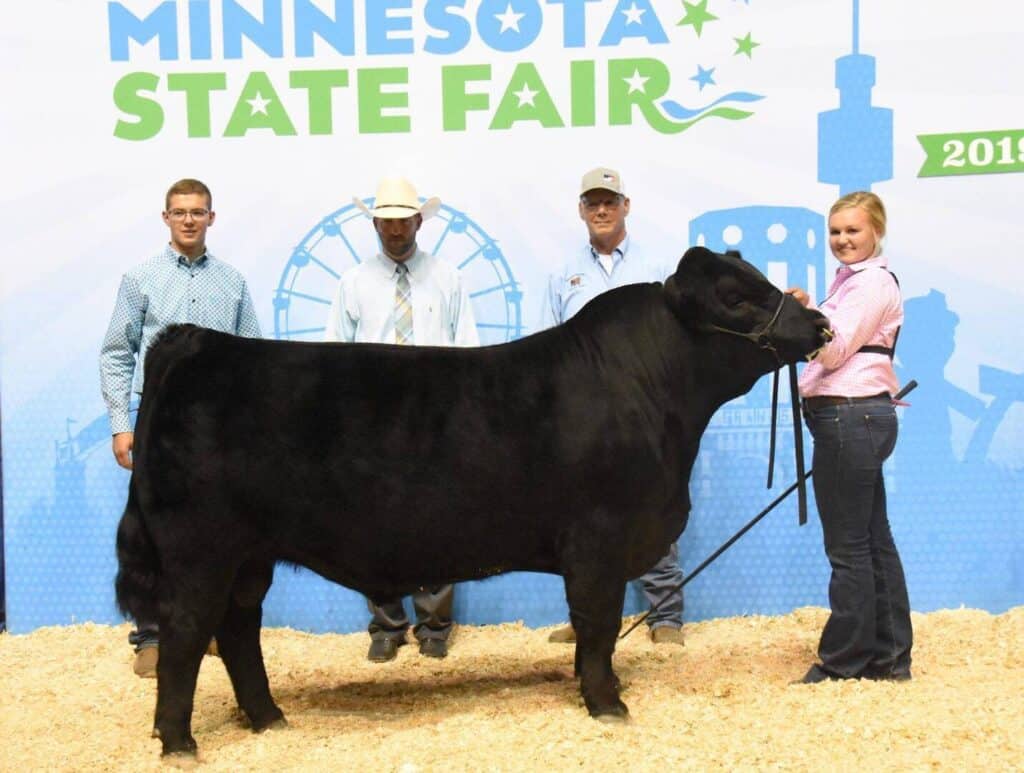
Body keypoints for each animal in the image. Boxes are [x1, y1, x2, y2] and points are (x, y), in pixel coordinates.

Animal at [115, 246, 831, 756]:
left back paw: (269, 719)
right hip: (200, 550)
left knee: (238, 629)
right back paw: (179, 742)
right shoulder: (597, 538)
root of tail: (195, 341)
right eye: (735, 297)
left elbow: (591, 632)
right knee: (186, 632)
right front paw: (607, 704)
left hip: (250, 555)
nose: (819, 322)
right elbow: (597, 627)